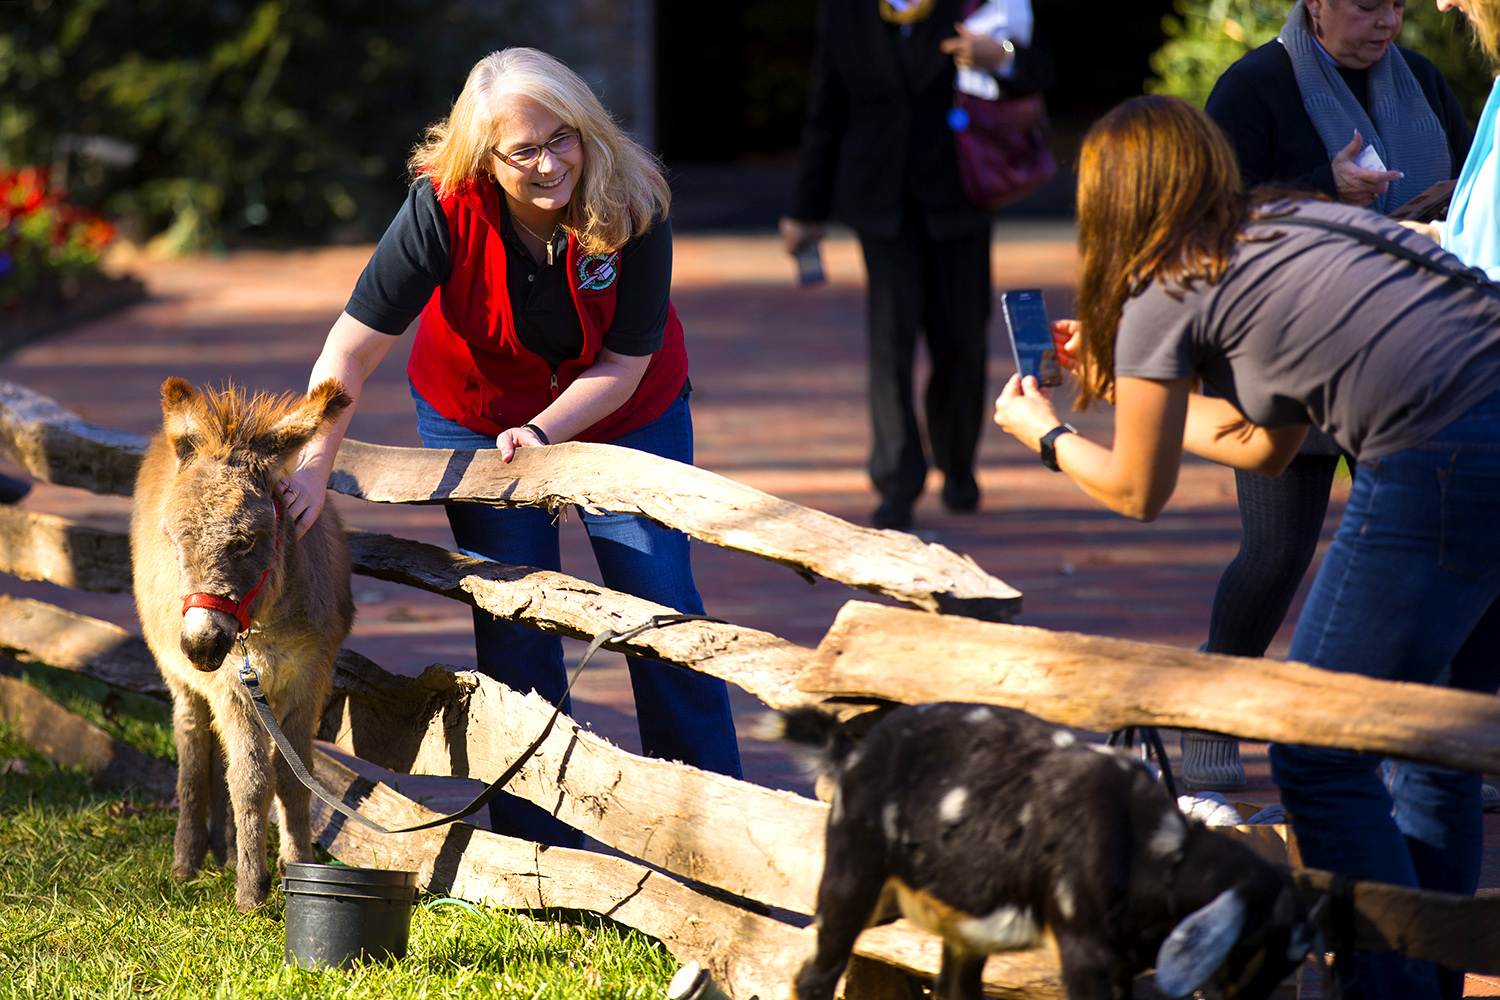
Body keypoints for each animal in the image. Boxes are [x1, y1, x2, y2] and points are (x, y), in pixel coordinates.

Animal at [774, 704, 1326, 1000]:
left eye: (1291, 962)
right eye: (1250, 948)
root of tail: (854, 752)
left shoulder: (1121, 964)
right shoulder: (1083, 954)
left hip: (954, 927)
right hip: (852, 882)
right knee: (815, 976)